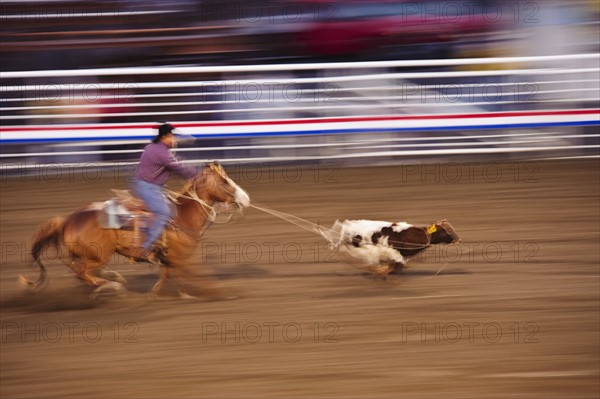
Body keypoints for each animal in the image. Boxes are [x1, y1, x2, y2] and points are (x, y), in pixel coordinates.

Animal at [20, 161, 251, 298]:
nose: (246, 199)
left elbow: (168, 275)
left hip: (82, 254)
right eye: (224, 181)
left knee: (78, 270)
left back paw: (107, 282)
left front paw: (166, 293)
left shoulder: (170, 258)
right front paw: (225, 292)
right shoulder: (183, 258)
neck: (182, 216)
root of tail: (69, 219)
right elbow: (200, 276)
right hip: (99, 255)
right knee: (82, 271)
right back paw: (112, 286)